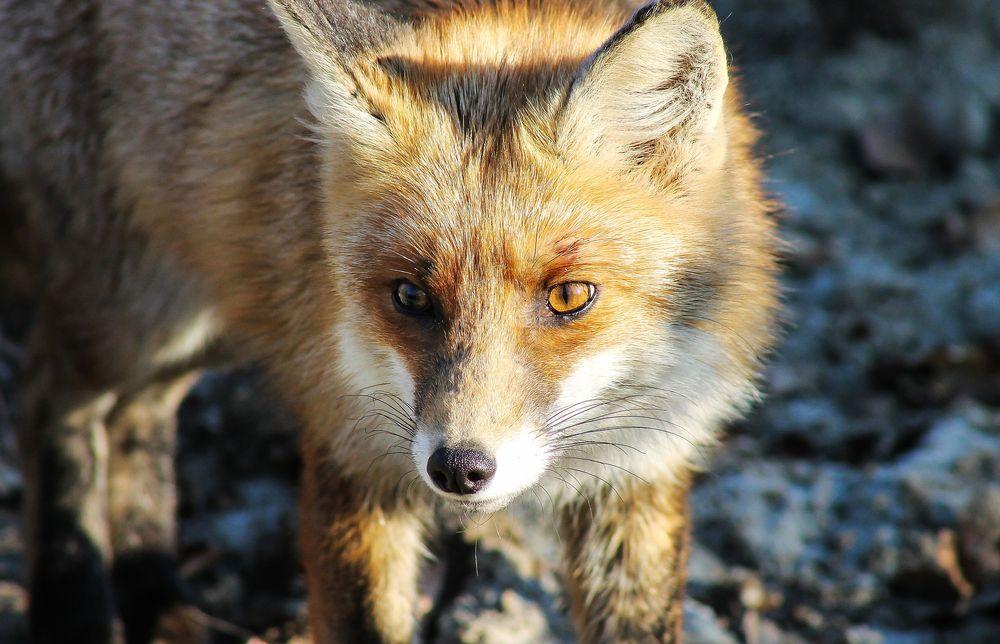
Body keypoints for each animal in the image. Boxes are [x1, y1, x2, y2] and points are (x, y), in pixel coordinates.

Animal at [0, 0, 780, 640]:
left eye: (569, 297)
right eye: (409, 296)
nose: (459, 469)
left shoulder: (640, 474)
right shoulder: (351, 448)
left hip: (215, 317)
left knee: (138, 417)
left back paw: (156, 597)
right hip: (134, 318)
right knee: (48, 398)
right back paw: (75, 612)